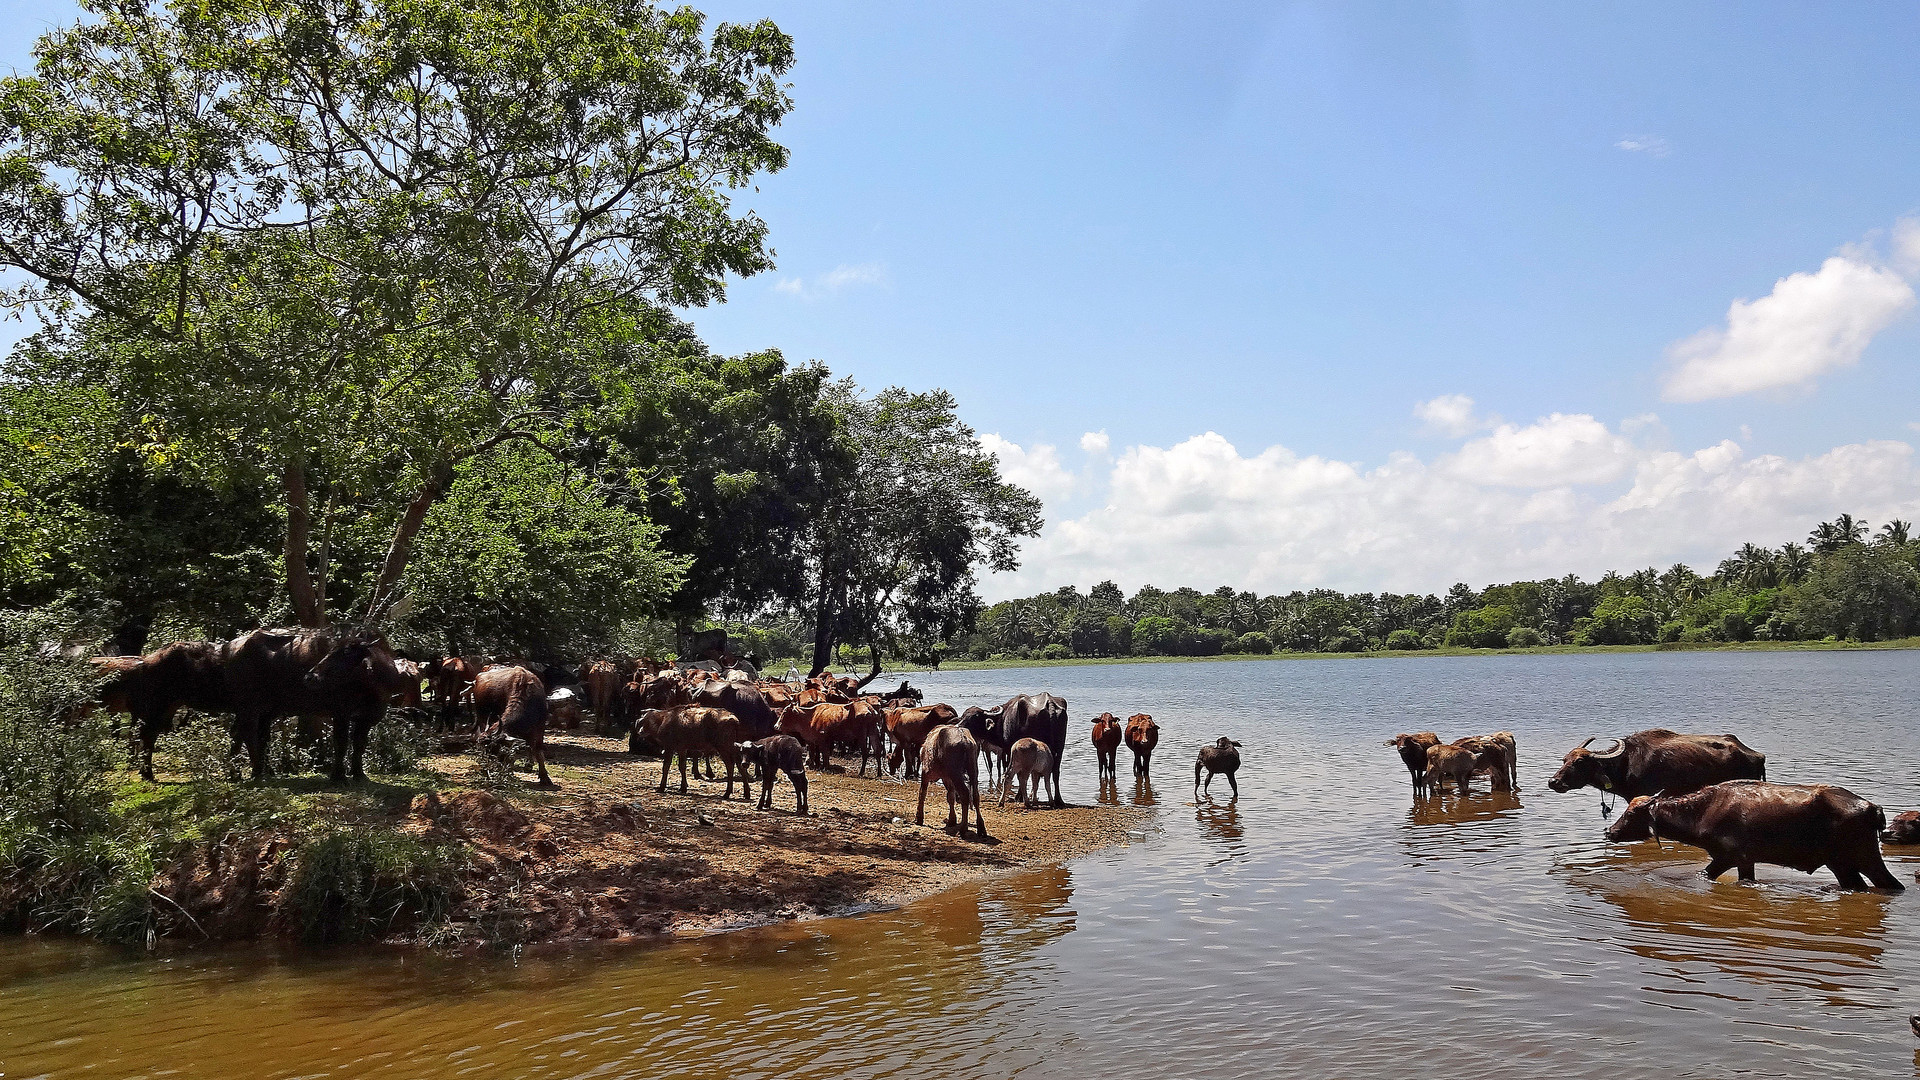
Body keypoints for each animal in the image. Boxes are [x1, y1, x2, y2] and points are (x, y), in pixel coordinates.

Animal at [1605, 776, 1904, 887]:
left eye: (1630, 814)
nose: (1610, 831)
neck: (1703, 810)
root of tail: (1872, 808)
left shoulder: (1732, 858)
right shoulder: (1741, 862)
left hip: (1861, 859)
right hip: (1842, 865)